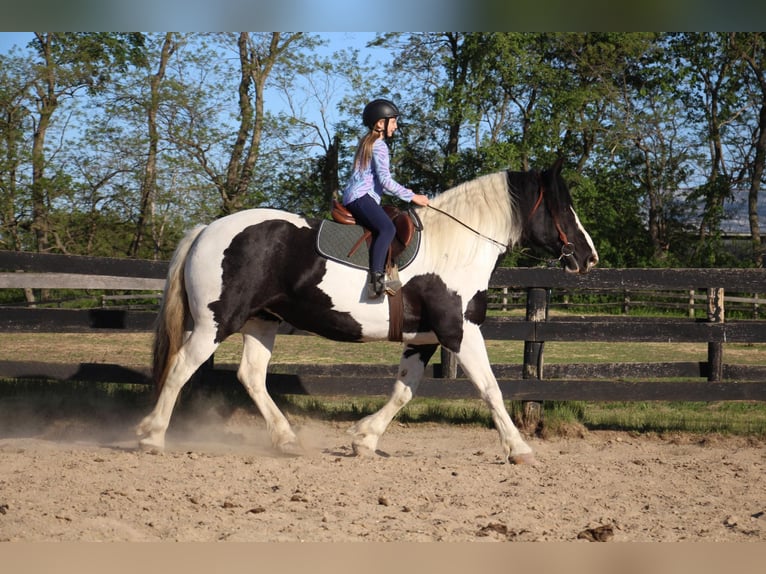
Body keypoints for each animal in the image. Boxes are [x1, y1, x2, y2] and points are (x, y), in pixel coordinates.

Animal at [138, 160, 600, 466]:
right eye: (564, 208)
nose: (588, 257)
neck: (454, 249)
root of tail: (208, 229)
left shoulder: (423, 339)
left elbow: (403, 391)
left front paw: (364, 439)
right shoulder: (460, 332)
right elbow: (491, 389)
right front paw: (519, 448)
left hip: (261, 322)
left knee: (250, 376)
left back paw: (286, 440)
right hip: (216, 322)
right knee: (181, 367)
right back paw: (152, 436)